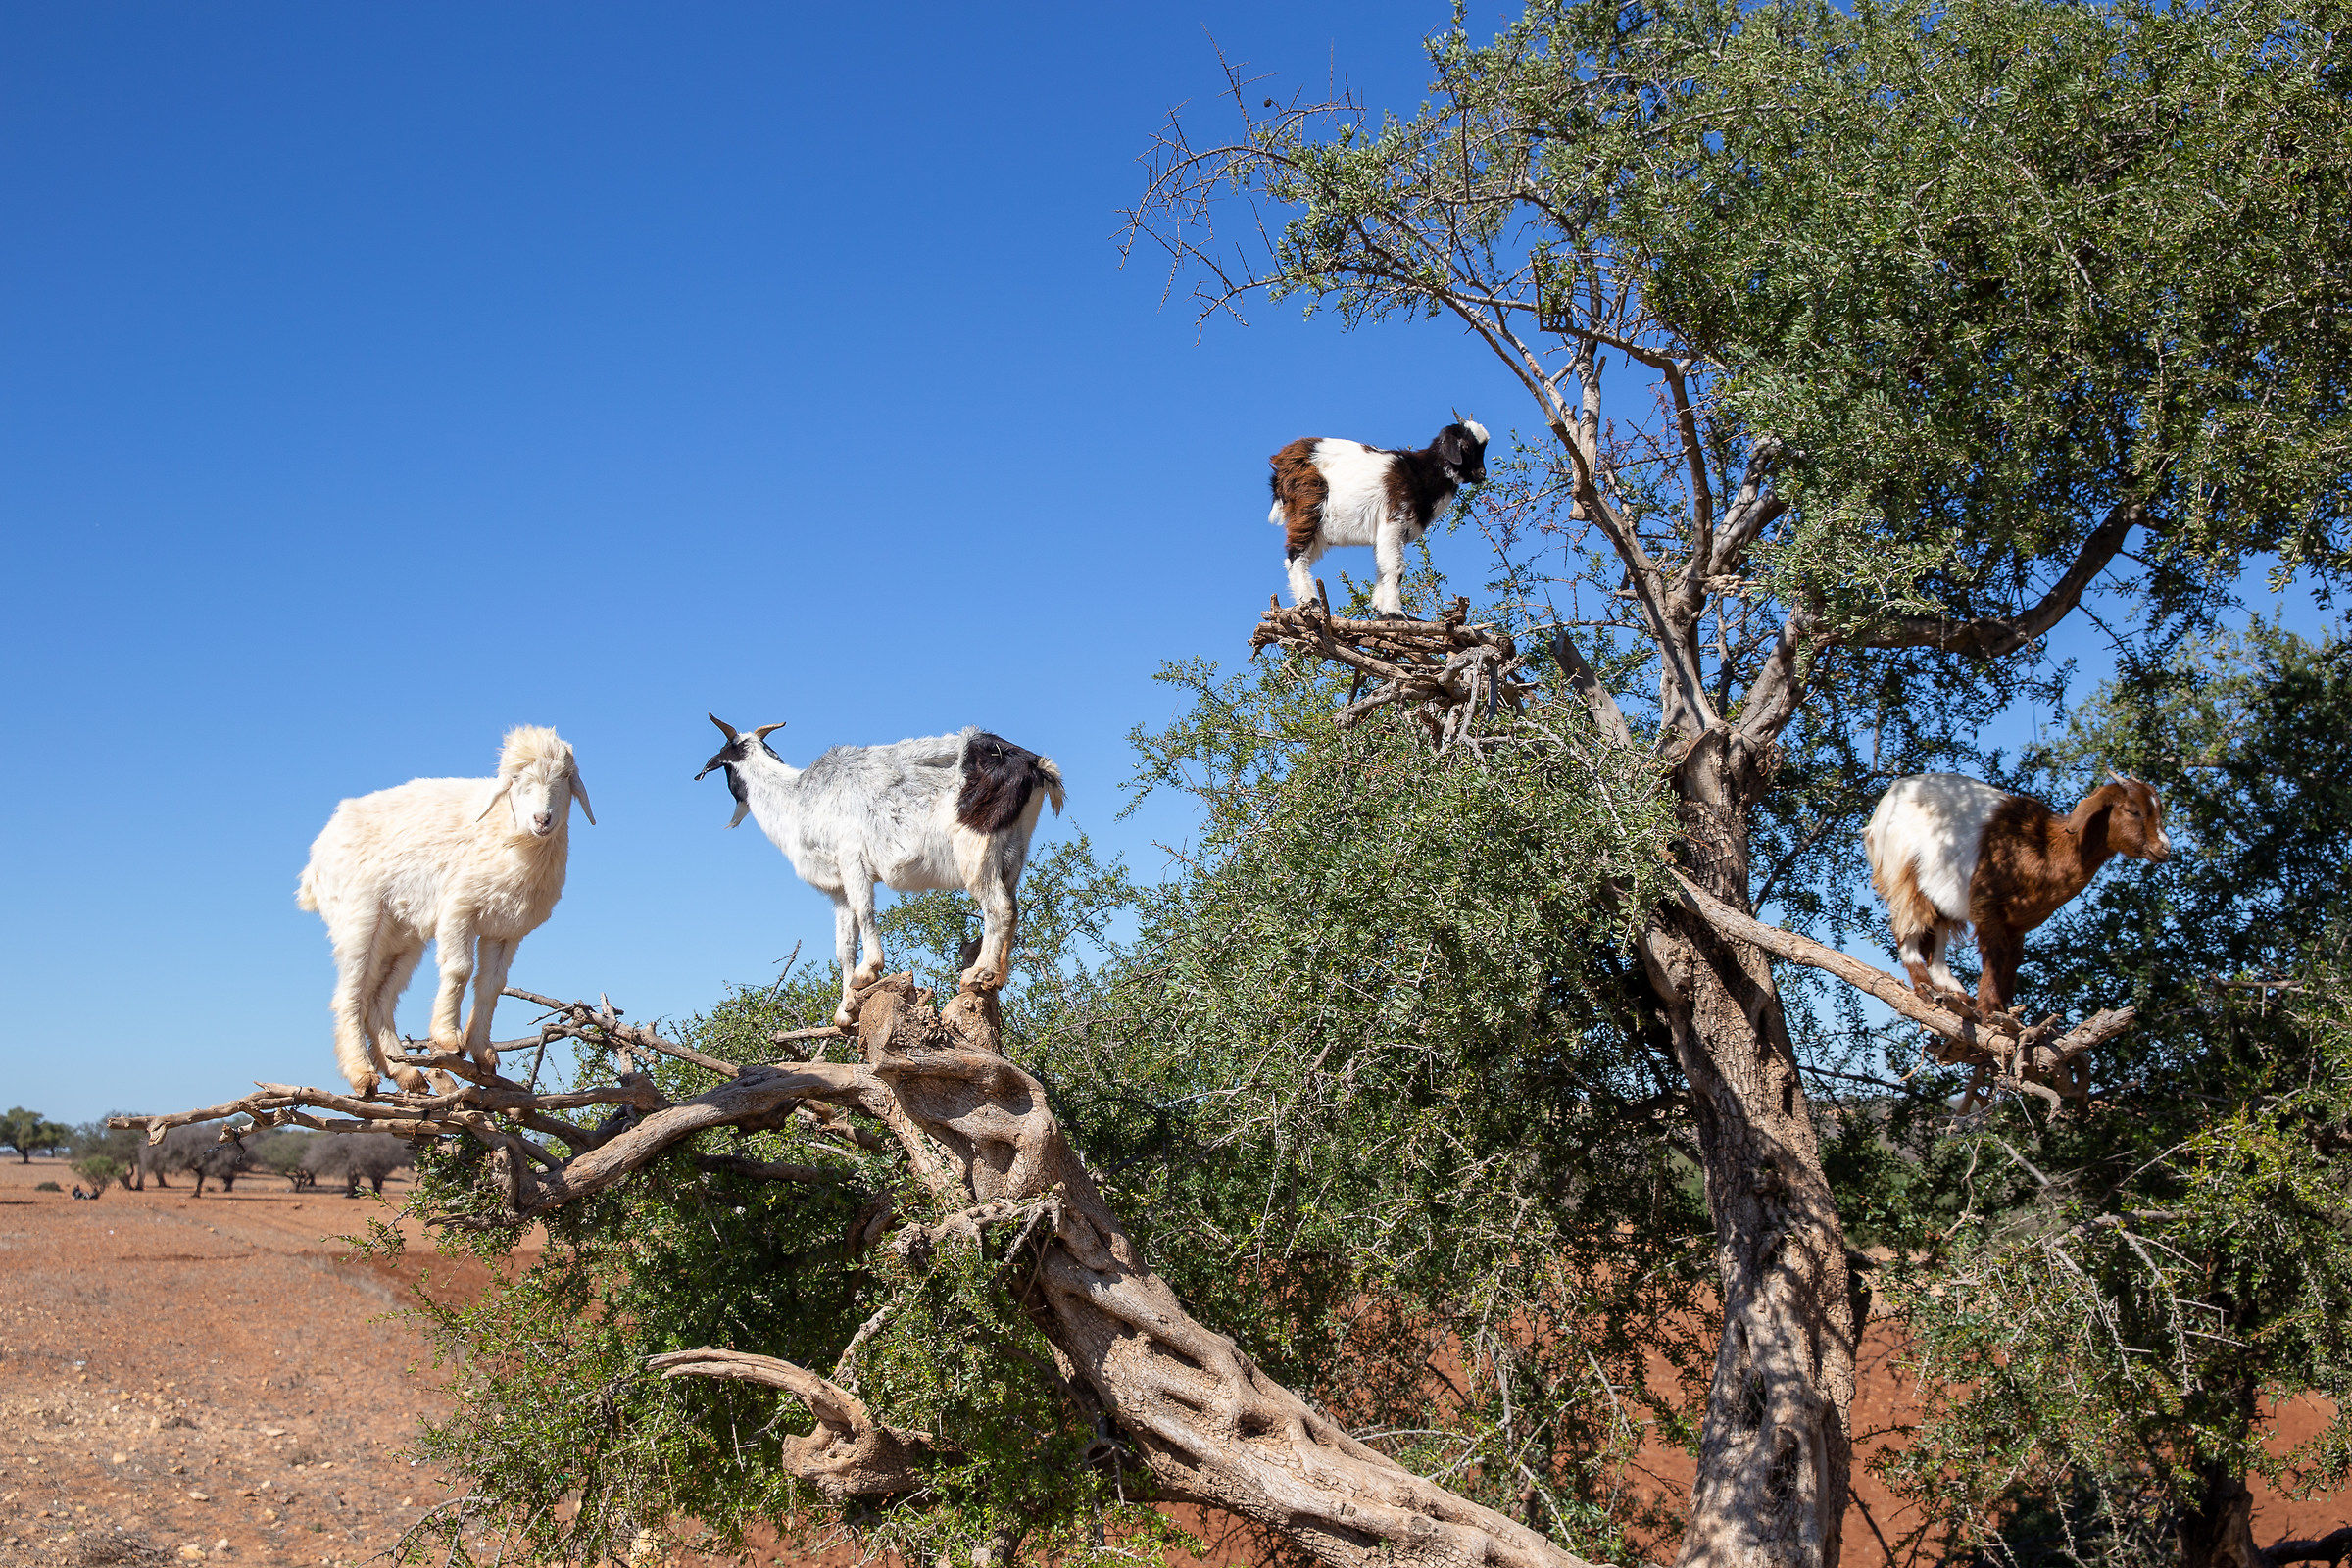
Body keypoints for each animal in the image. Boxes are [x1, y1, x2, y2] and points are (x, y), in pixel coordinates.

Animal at [297, 726, 593, 1097]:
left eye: (566, 777)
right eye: (514, 780)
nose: (542, 819)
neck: (506, 834)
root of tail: (315, 858)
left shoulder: (506, 929)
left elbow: (491, 985)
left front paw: (483, 1051)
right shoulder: (459, 907)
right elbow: (459, 969)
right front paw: (449, 1038)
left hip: (401, 934)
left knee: (378, 998)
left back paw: (404, 1072)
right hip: (358, 917)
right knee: (349, 995)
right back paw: (361, 1073)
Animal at [695, 714, 1064, 1028]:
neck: (798, 800)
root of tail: (1034, 764)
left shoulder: (852, 858)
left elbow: (865, 911)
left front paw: (869, 971)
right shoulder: (838, 888)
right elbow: (843, 944)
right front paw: (846, 1010)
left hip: (976, 848)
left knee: (998, 907)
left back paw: (978, 974)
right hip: (1013, 850)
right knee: (1013, 907)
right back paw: (996, 978)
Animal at [1267, 414, 1489, 616]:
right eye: (1466, 446)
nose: (1481, 474)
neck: (1421, 473)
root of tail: (1281, 463)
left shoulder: (1388, 531)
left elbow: (1382, 566)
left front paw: (1381, 610)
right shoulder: (1395, 520)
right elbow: (1395, 567)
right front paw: (1394, 612)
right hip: (1309, 507)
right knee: (1295, 554)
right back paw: (1311, 602)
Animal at [1863, 771, 2171, 1018]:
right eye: (2133, 811)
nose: (2165, 848)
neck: (2045, 848)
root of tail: (1886, 803)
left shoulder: (2017, 924)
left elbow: (2012, 959)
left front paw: (2007, 1012)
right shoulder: (1987, 905)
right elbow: (1994, 952)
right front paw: (1990, 1011)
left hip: (1936, 890)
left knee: (1935, 936)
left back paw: (1954, 991)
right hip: (1903, 870)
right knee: (1906, 925)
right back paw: (1924, 987)